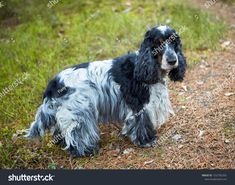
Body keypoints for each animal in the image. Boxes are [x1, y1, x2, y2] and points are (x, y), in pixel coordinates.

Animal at [25, 25, 187, 157]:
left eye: (174, 43)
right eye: (158, 43)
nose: (173, 61)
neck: (144, 66)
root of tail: (54, 83)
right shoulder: (139, 105)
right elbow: (141, 123)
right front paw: (146, 140)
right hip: (78, 112)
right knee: (76, 134)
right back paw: (85, 151)